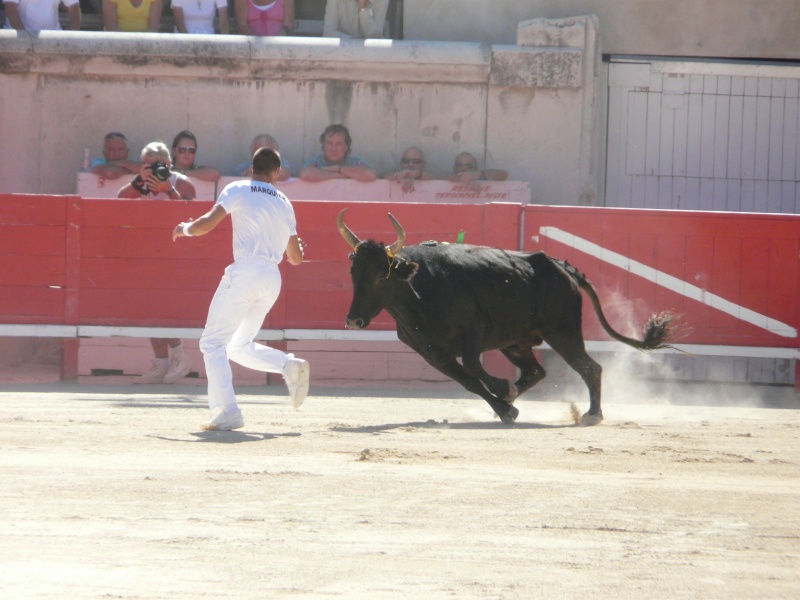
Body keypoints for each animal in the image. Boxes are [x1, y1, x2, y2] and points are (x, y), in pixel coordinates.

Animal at [338, 211, 680, 426]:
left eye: (381, 276)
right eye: (353, 273)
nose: (353, 321)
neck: (419, 291)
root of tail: (561, 267)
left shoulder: (474, 330)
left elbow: (474, 367)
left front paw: (503, 392)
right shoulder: (432, 354)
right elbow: (469, 382)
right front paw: (506, 409)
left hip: (563, 331)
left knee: (589, 368)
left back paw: (591, 415)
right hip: (516, 342)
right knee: (536, 372)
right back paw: (515, 399)